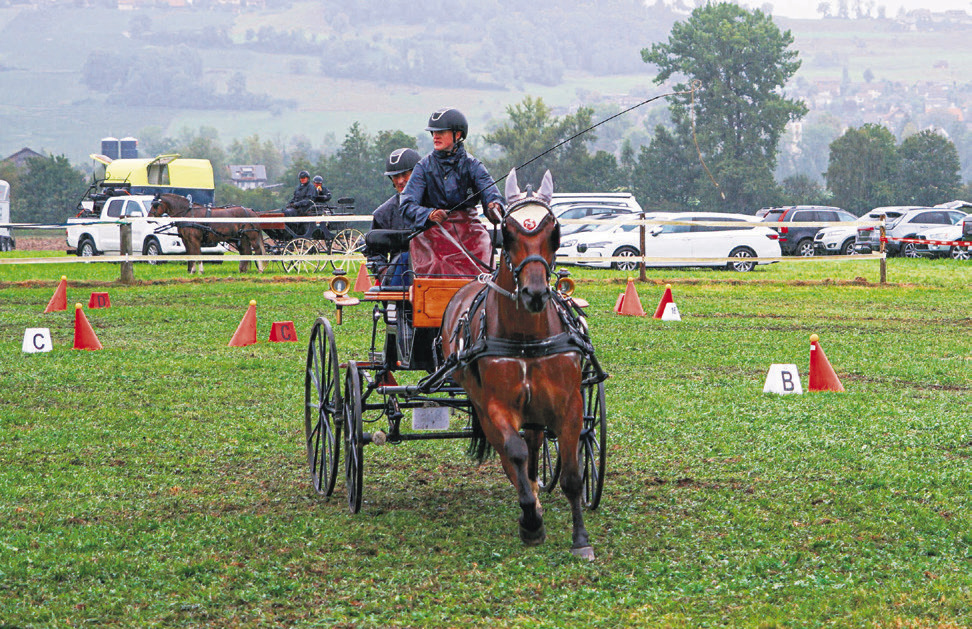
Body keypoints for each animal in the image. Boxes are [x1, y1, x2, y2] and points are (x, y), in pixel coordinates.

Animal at [438, 168, 592, 560]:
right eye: (505, 233)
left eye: (554, 233)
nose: (534, 293)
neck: (526, 338)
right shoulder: (497, 406)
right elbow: (515, 452)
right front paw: (531, 523)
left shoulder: (569, 404)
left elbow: (571, 475)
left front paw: (581, 539)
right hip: (482, 404)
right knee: (511, 453)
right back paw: (530, 503)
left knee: (535, 441)